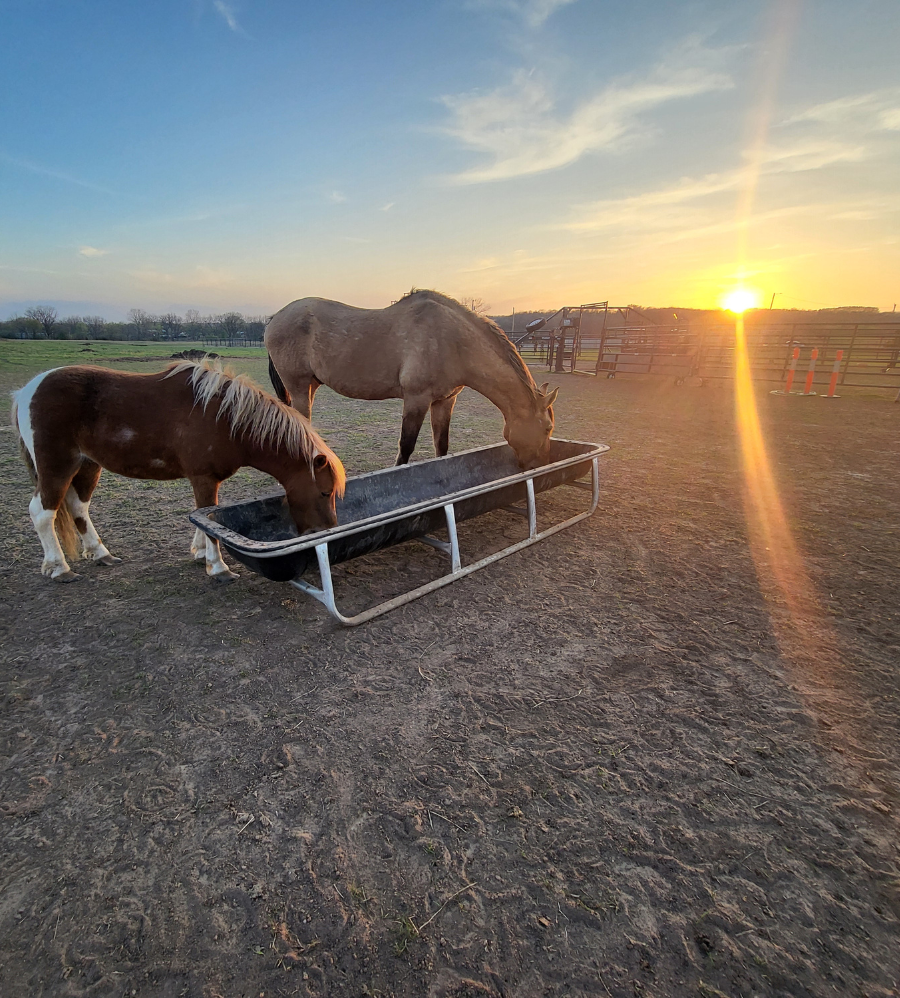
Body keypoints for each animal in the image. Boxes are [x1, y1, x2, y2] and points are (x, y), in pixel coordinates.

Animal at [11, 359, 345, 583]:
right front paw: (218, 568)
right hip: (57, 466)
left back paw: (100, 553)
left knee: (78, 507)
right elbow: (208, 517)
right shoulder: (204, 477)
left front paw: (199, 553)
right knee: (43, 513)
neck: (226, 418)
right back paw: (59, 568)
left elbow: (202, 516)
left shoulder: (205, 479)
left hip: (88, 465)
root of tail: (28, 390)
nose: (328, 531)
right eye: (325, 492)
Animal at [265, 289, 559, 468]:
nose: (540, 464)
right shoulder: (416, 399)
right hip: (299, 387)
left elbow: (442, 445)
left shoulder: (444, 401)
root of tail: (275, 318)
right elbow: (406, 447)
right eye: (547, 428)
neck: (453, 341)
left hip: (310, 386)